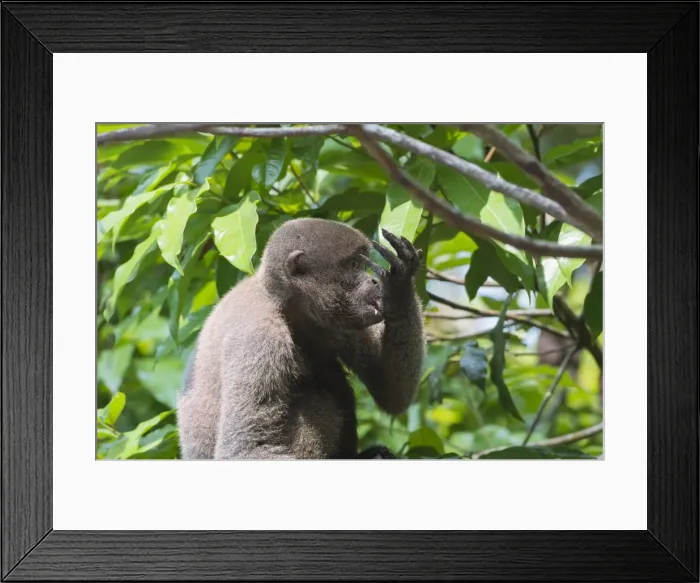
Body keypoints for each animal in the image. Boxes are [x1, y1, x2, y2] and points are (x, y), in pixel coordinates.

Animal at [176, 218, 426, 460]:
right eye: (354, 265)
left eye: (363, 265)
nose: (373, 281)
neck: (282, 302)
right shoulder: (258, 337)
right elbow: (244, 449)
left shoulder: (338, 320)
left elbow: (392, 392)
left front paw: (398, 288)